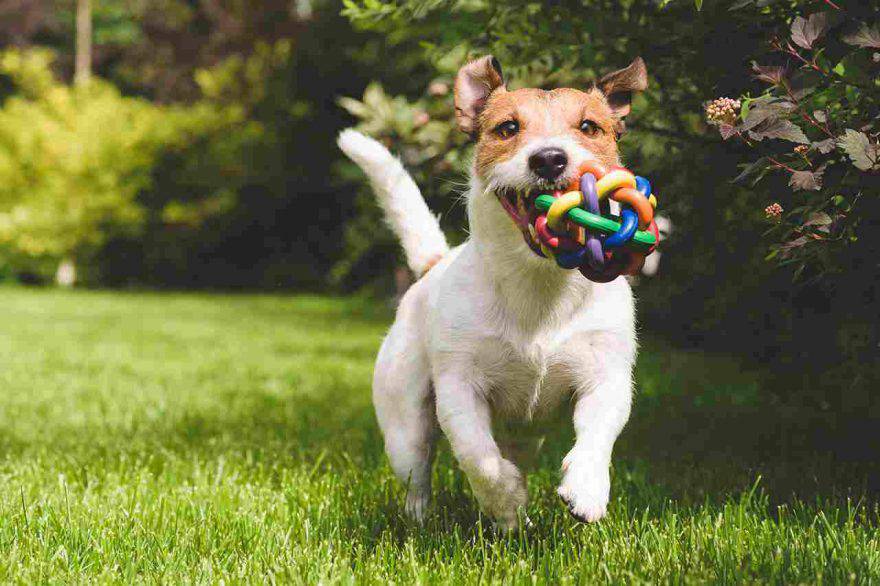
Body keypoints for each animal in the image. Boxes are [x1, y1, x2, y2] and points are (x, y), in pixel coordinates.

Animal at [340, 56, 648, 528]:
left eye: (588, 126)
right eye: (507, 128)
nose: (550, 159)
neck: (539, 283)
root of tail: (433, 265)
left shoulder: (605, 376)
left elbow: (597, 435)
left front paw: (587, 488)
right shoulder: (459, 388)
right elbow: (478, 457)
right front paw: (505, 498)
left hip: (526, 434)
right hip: (404, 423)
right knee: (418, 471)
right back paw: (430, 518)